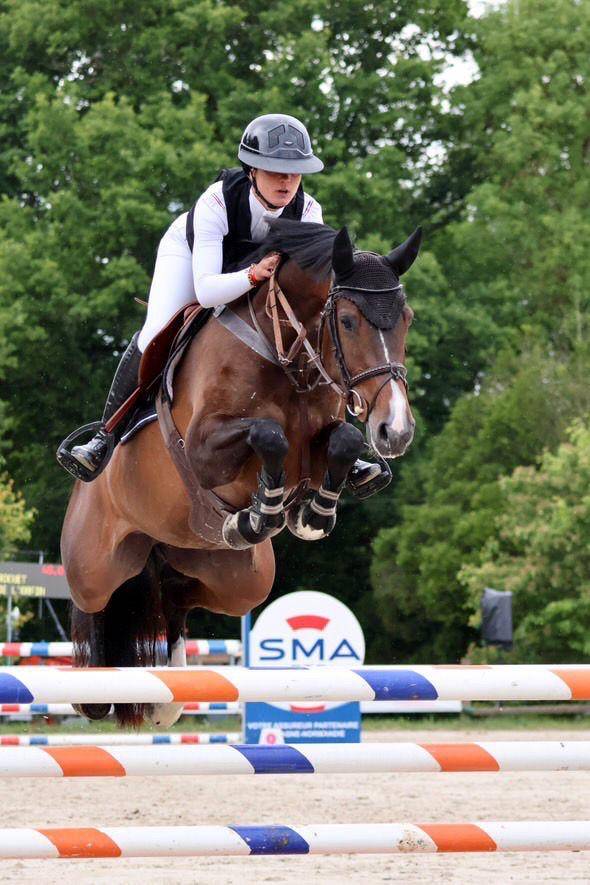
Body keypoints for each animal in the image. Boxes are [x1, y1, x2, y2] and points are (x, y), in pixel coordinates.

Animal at [60, 219, 420, 727]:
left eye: (407, 319)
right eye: (348, 321)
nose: (396, 430)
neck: (286, 352)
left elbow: (344, 442)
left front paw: (307, 515)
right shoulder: (201, 449)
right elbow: (269, 434)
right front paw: (267, 510)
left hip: (238, 579)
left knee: (176, 596)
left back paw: (168, 694)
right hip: (97, 562)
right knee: (91, 599)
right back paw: (89, 690)